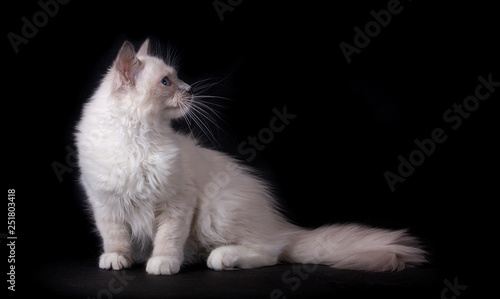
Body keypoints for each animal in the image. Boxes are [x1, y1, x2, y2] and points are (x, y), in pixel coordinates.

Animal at [76, 39, 428, 276]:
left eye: (177, 77)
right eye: (166, 82)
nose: (190, 89)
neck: (137, 137)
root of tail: (282, 225)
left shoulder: (177, 203)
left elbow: (167, 239)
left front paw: (162, 263)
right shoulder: (105, 204)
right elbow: (115, 238)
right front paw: (118, 260)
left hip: (215, 212)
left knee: (272, 252)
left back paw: (222, 258)